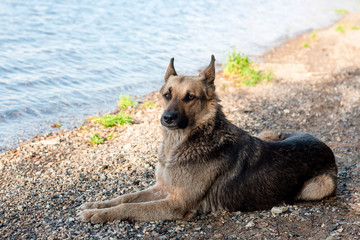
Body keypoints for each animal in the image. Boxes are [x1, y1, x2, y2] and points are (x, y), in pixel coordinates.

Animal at [79, 55, 338, 224]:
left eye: (190, 97)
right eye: (167, 95)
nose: (167, 118)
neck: (178, 144)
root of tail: (323, 144)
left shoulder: (176, 204)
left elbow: (130, 206)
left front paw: (100, 214)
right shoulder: (162, 188)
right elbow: (126, 197)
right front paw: (97, 205)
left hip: (319, 187)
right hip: (271, 132)